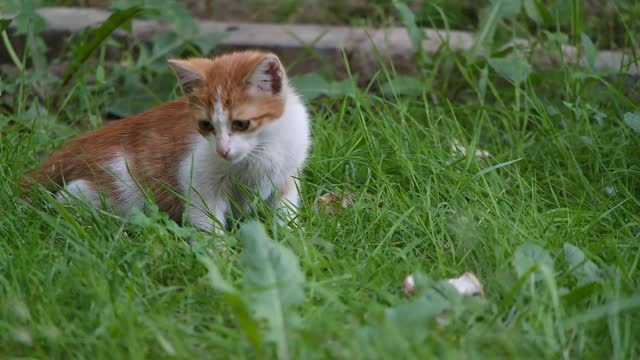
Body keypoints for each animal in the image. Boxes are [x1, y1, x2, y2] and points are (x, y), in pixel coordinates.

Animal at [25, 50, 312, 231]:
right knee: (65, 199)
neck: (265, 146)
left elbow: (286, 209)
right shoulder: (196, 175)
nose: (222, 150)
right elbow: (207, 218)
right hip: (117, 184)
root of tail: (78, 144)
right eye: (206, 125)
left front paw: (291, 237)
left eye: (241, 124)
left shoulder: (288, 174)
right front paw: (218, 256)